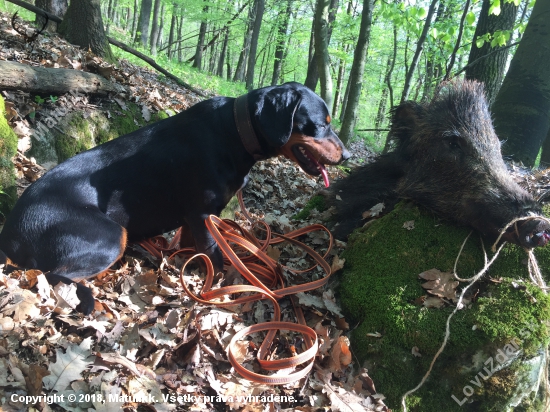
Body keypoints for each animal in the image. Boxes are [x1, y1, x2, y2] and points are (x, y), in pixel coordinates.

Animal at [0, 81, 352, 312]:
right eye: (321, 124)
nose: (347, 155)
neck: (235, 133)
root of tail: (11, 235)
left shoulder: (194, 218)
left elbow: (192, 250)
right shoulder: (203, 215)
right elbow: (216, 259)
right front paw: (219, 290)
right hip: (109, 235)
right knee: (52, 274)